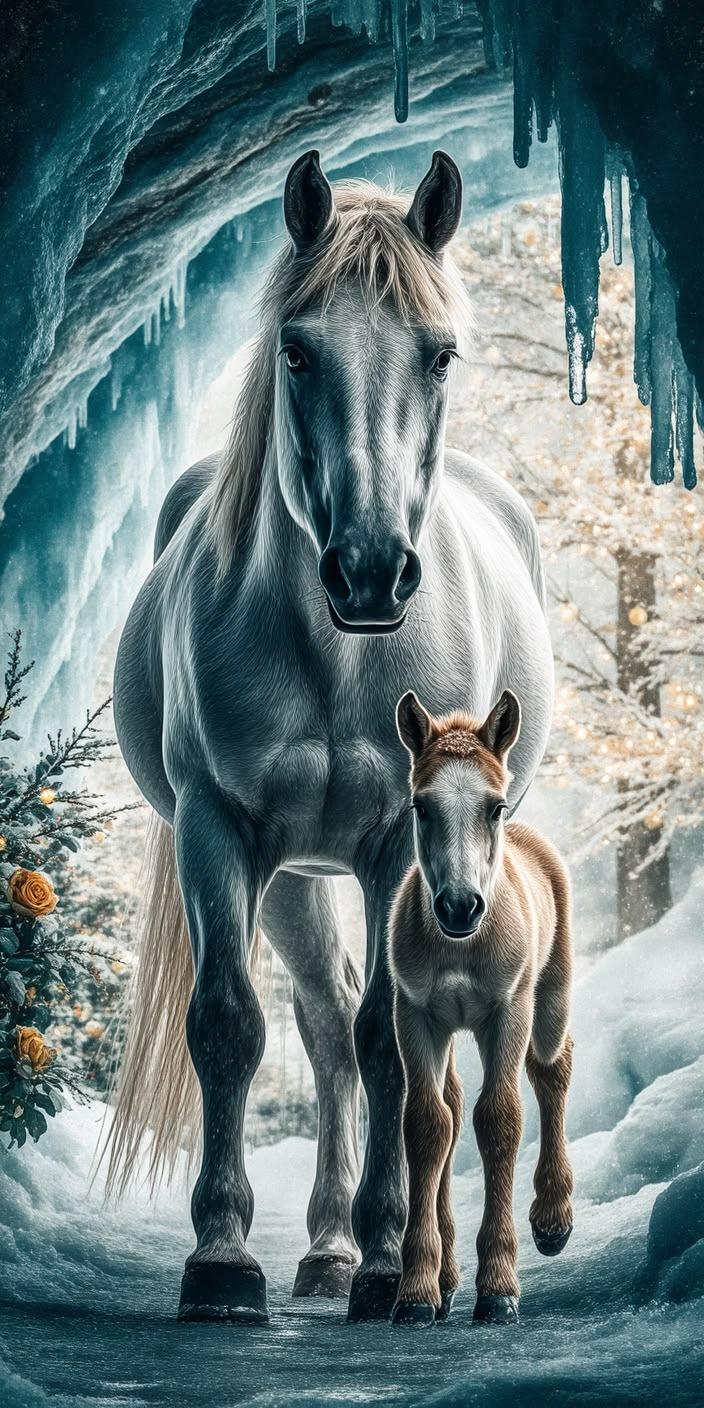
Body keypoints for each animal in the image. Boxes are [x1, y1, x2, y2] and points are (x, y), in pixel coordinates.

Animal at [107, 148, 554, 1325]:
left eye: (439, 353)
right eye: (297, 349)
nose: (369, 571)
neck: (337, 654)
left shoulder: (401, 841)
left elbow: (389, 1043)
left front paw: (396, 1259)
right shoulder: (216, 829)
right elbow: (230, 1026)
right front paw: (222, 1260)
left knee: (352, 1027)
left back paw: (361, 1250)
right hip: (291, 876)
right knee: (316, 1017)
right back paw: (322, 1248)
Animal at [389, 689, 573, 1327]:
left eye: (494, 808)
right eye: (421, 807)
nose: (459, 906)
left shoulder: (507, 1010)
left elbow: (500, 1118)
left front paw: (498, 1288)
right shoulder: (415, 1014)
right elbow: (428, 1124)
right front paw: (417, 1290)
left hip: (550, 999)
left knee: (553, 1066)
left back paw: (553, 1219)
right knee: (449, 1102)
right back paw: (445, 1278)